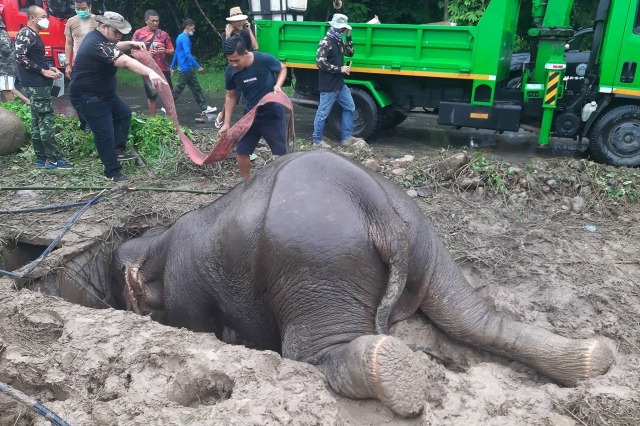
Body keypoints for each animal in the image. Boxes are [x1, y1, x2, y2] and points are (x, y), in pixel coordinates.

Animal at [114, 149, 616, 416]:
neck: (155, 242)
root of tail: (375, 207)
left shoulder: (185, 290)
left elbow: (195, 325)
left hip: (317, 263)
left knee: (314, 350)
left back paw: (393, 370)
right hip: (422, 242)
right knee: (472, 318)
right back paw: (596, 357)